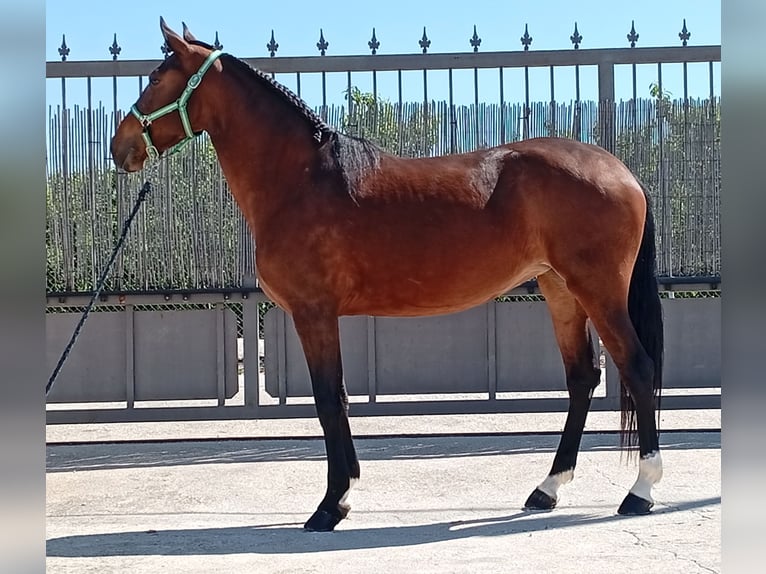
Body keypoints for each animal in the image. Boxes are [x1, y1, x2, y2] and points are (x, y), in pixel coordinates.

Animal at [111, 18, 664, 532]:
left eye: (157, 76)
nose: (121, 146)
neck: (301, 182)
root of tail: (620, 170)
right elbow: (336, 399)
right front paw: (342, 496)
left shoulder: (314, 313)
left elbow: (329, 399)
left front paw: (331, 504)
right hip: (561, 290)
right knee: (582, 378)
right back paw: (547, 488)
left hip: (598, 290)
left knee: (637, 367)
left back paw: (640, 492)